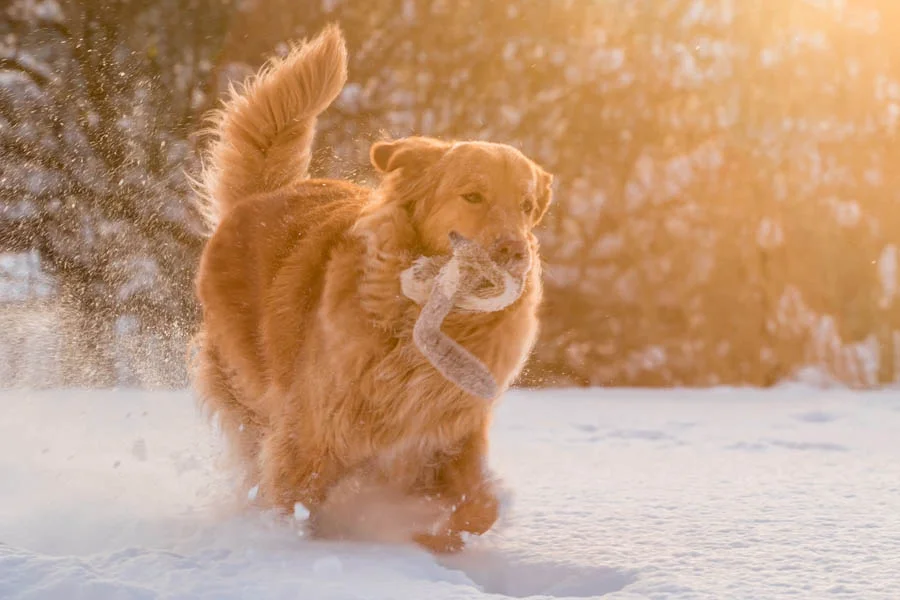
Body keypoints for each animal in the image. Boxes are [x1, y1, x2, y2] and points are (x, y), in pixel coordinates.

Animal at [192, 24, 548, 552]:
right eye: (473, 196)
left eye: (526, 205)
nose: (515, 252)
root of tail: (263, 194)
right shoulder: (313, 428)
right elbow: (292, 500)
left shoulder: (449, 431)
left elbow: (480, 508)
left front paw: (432, 539)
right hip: (246, 386)